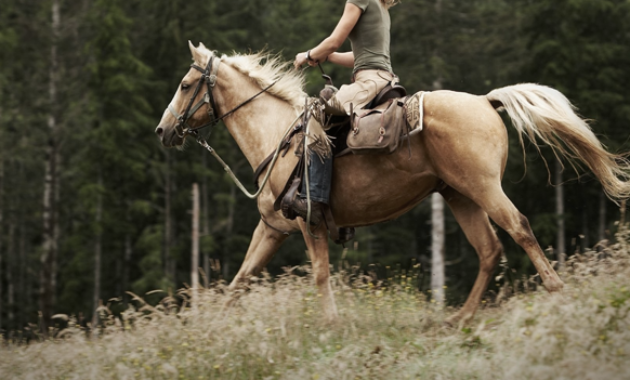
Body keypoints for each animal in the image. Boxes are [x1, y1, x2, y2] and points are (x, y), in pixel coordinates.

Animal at [154, 43, 630, 326]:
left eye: (185, 84)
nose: (163, 130)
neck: (279, 136)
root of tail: (485, 100)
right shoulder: (272, 228)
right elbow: (241, 278)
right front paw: (212, 329)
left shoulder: (309, 223)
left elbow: (320, 274)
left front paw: (331, 327)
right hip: (459, 195)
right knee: (489, 249)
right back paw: (459, 320)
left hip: (484, 189)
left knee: (519, 229)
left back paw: (556, 293)